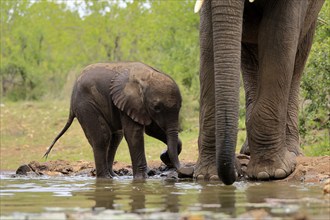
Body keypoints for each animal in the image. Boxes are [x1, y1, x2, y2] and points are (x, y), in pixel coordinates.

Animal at [43, 62, 183, 179]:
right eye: (157, 108)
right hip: (86, 105)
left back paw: (113, 176)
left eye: (180, 106)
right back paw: (105, 178)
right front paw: (141, 179)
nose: (164, 154)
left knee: (115, 138)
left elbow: (153, 130)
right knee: (103, 137)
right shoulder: (128, 102)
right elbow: (134, 135)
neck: (146, 77)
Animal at [195, 0, 324, 186]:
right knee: (250, 59)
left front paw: (270, 173)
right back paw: (248, 152)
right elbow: (208, 39)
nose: (235, 174)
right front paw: (208, 176)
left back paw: (292, 152)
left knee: (298, 58)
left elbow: (278, 35)